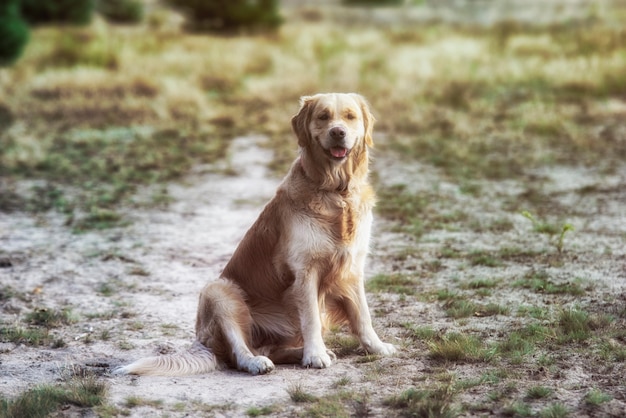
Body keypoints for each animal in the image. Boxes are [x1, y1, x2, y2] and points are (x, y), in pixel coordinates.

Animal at [117, 94, 394, 376]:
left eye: (350, 117)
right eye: (323, 117)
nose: (338, 132)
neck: (336, 192)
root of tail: (206, 344)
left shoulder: (352, 267)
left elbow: (362, 314)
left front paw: (377, 347)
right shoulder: (304, 271)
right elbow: (312, 320)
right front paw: (315, 355)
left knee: (272, 349)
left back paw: (299, 352)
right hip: (219, 292)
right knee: (240, 352)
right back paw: (258, 362)